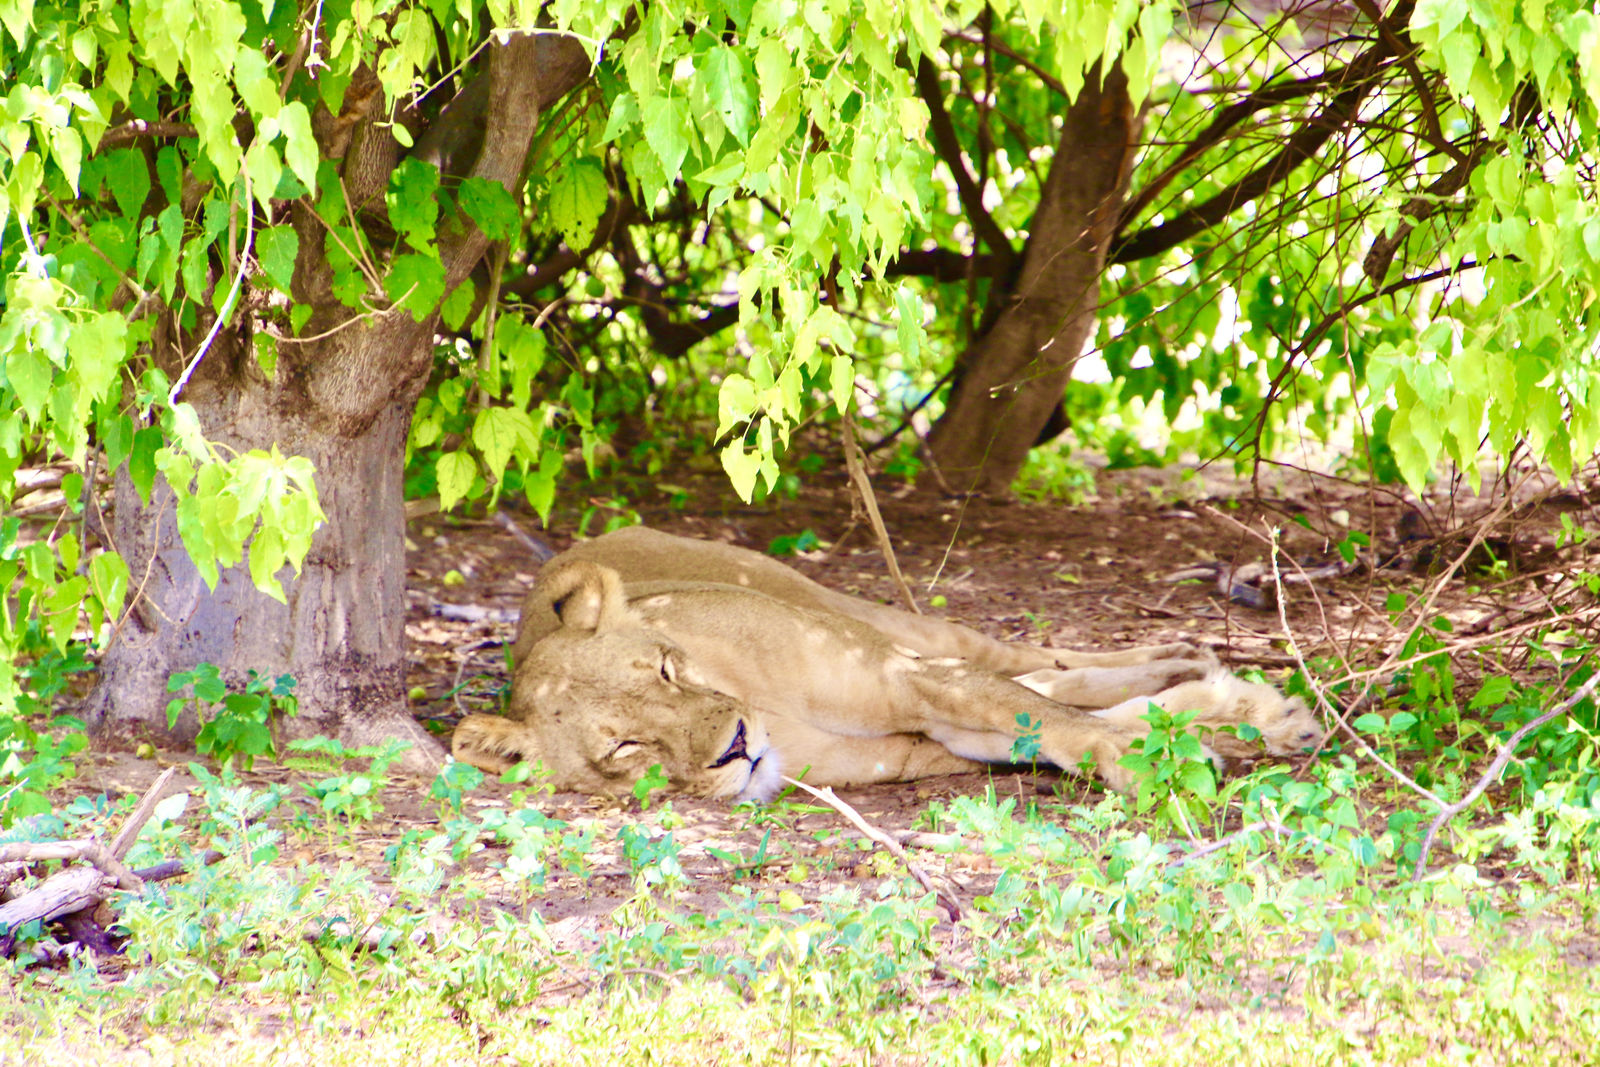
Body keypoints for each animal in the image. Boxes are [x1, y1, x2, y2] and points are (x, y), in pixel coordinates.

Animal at [451, 528, 1323, 798]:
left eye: (666, 669)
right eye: (626, 747)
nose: (736, 745)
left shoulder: (899, 671)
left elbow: (1060, 714)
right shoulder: (911, 748)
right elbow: (1056, 726)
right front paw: (1206, 729)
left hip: (872, 616)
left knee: (1039, 660)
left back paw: (1194, 659)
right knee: (1055, 681)